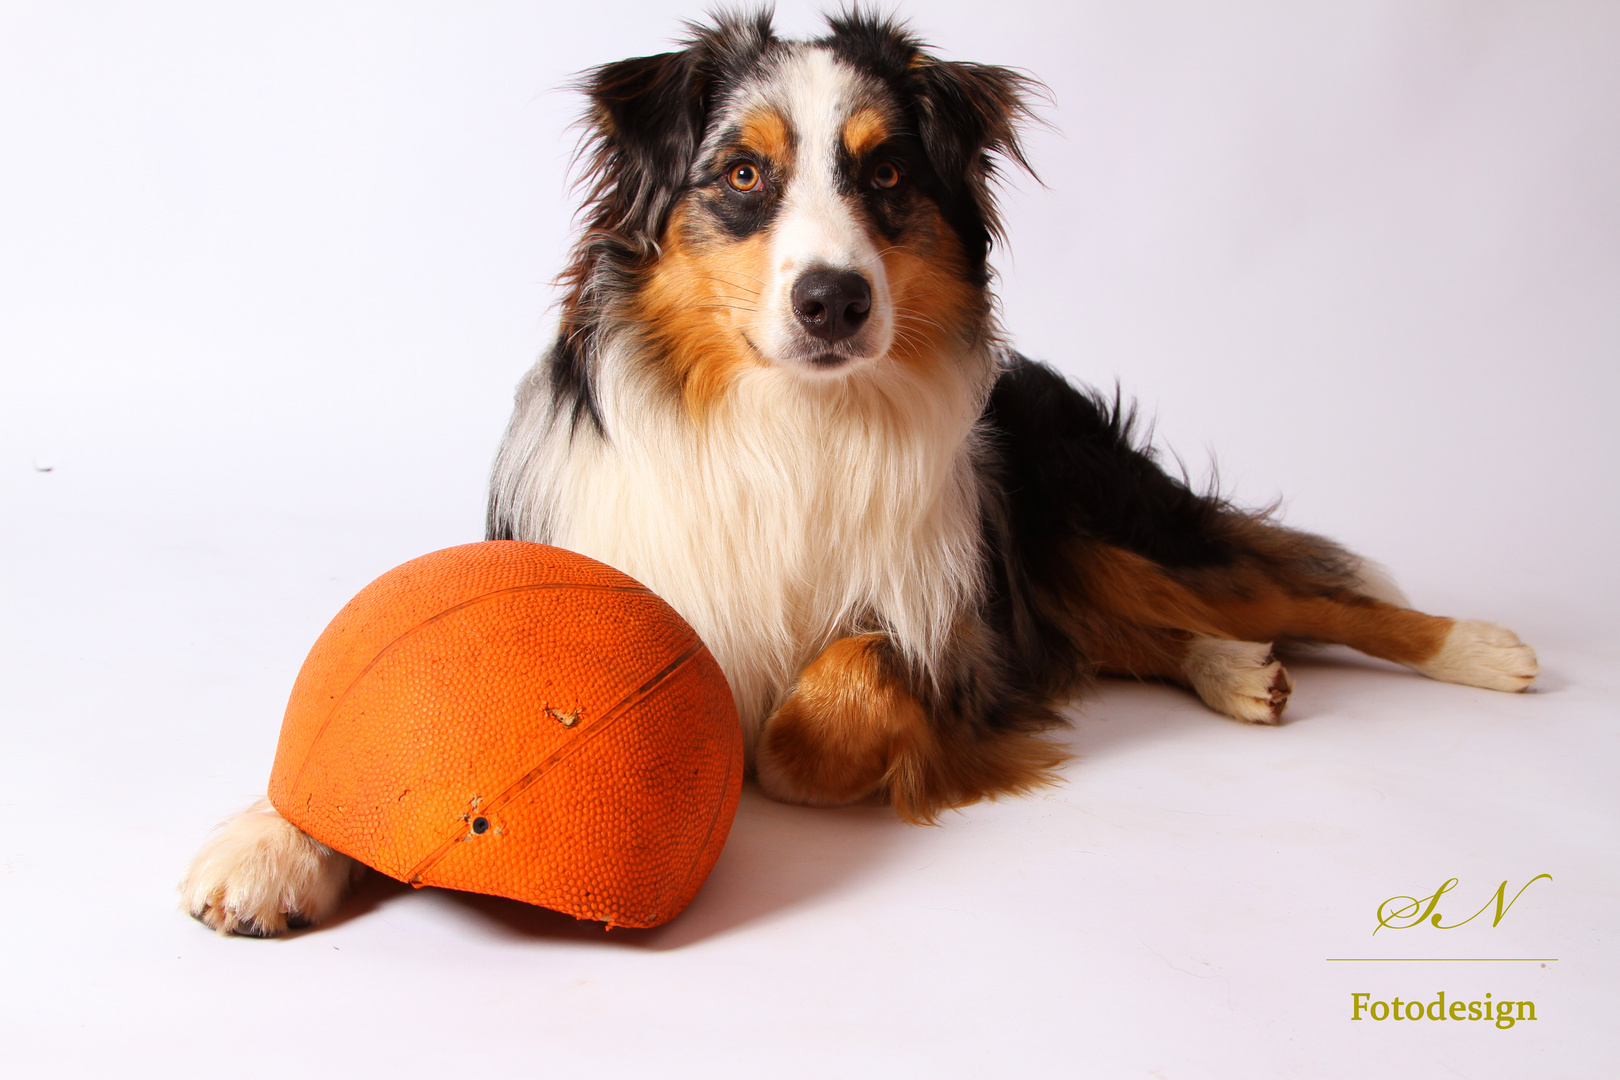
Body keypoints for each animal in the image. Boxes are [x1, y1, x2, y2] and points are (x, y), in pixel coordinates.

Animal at [177, 10, 1529, 939]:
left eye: (886, 176)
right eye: (742, 174)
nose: (834, 299)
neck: (782, 422)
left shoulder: (954, 629)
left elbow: (827, 697)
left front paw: (778, 744)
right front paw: (274, 844)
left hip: (1097, 524)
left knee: (1302, 595)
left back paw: (1473, 648)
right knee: (1141, 632)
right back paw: (1239, 672)